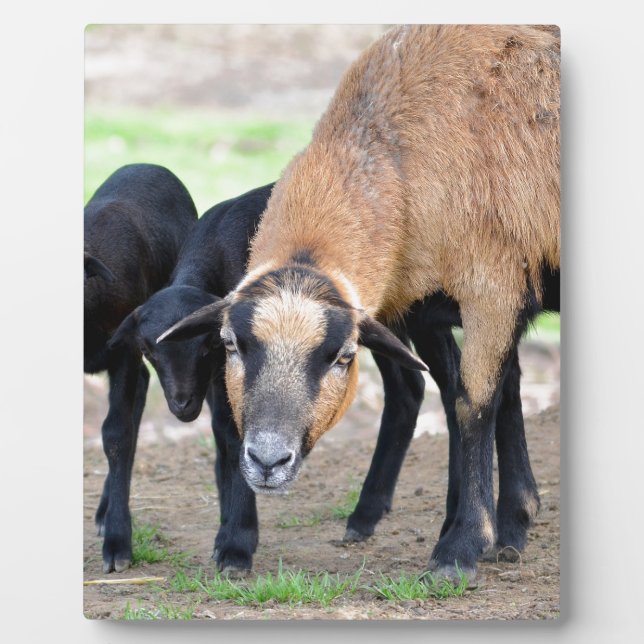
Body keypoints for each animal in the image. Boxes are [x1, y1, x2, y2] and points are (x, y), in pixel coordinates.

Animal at [159, 25, 560, 582]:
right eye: (231, 345)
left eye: (343, 357)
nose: (267, 461)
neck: (390, 153)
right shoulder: (426, 307)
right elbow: (494, 394)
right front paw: (511, 523)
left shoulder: (493, 288)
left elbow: (474, 404)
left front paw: (460, 549)